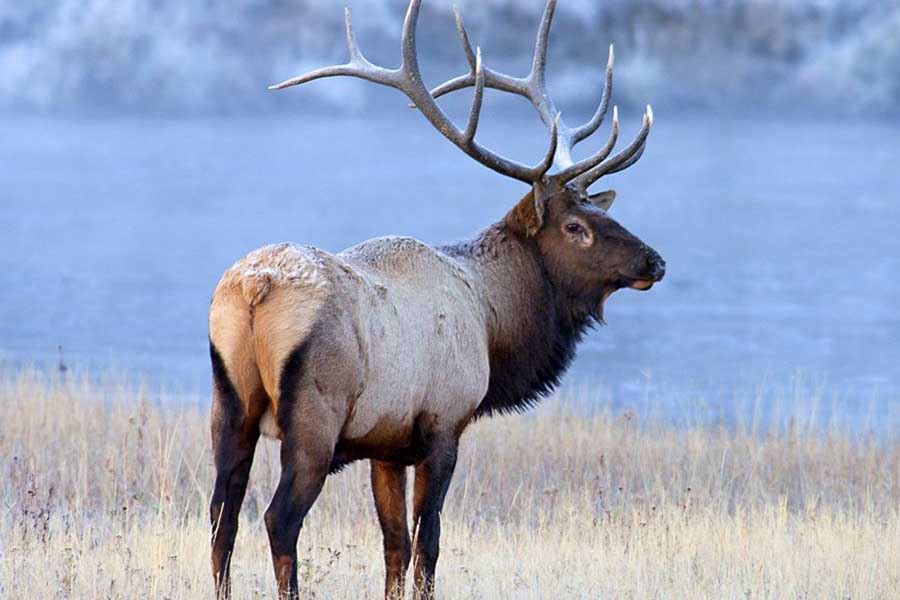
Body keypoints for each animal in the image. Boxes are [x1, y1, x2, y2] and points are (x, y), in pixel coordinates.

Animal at [209, 2, 660, 596]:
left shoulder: (386, 445)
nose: (654, 261)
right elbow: (430, 543)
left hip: (229, 404)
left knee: (222, 519)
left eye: (598, 211)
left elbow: (394, 546)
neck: (494, 323)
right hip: (314, 417)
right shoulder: (444, 424)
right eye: (575, 227)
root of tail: (253, 289)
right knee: (278, 519)